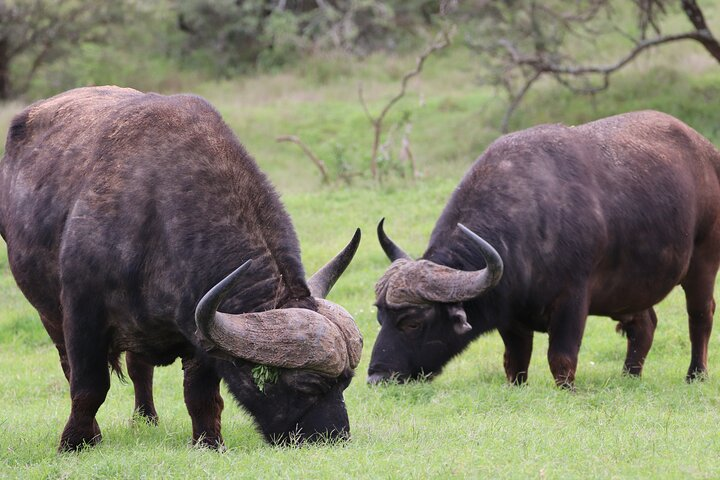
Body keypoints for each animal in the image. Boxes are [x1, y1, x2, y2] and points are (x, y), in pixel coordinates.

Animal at [0, 86, 360, 450]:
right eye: (308, 384)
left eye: (346, 381)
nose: (335, 436)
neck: (159, 218)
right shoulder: (82, 314)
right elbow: (89, 386)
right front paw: (75, 442)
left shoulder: (199, 327)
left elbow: (200, 395)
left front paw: (209, 441)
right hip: (48, 313)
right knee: (69, 365)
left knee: (139, 368)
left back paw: (146, 419)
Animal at [368, 110, 720, 388]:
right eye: (380, 318)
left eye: (412, 322)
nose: (377, 377)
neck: (527, 223)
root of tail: (707, 151)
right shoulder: (511, 316)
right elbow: (514, 361)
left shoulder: (572, 301)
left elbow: (561, 358)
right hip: (630, 289)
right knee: (645, 325)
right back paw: (629, 376)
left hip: (703, 262)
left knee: (700, 315)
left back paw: (695, 374)